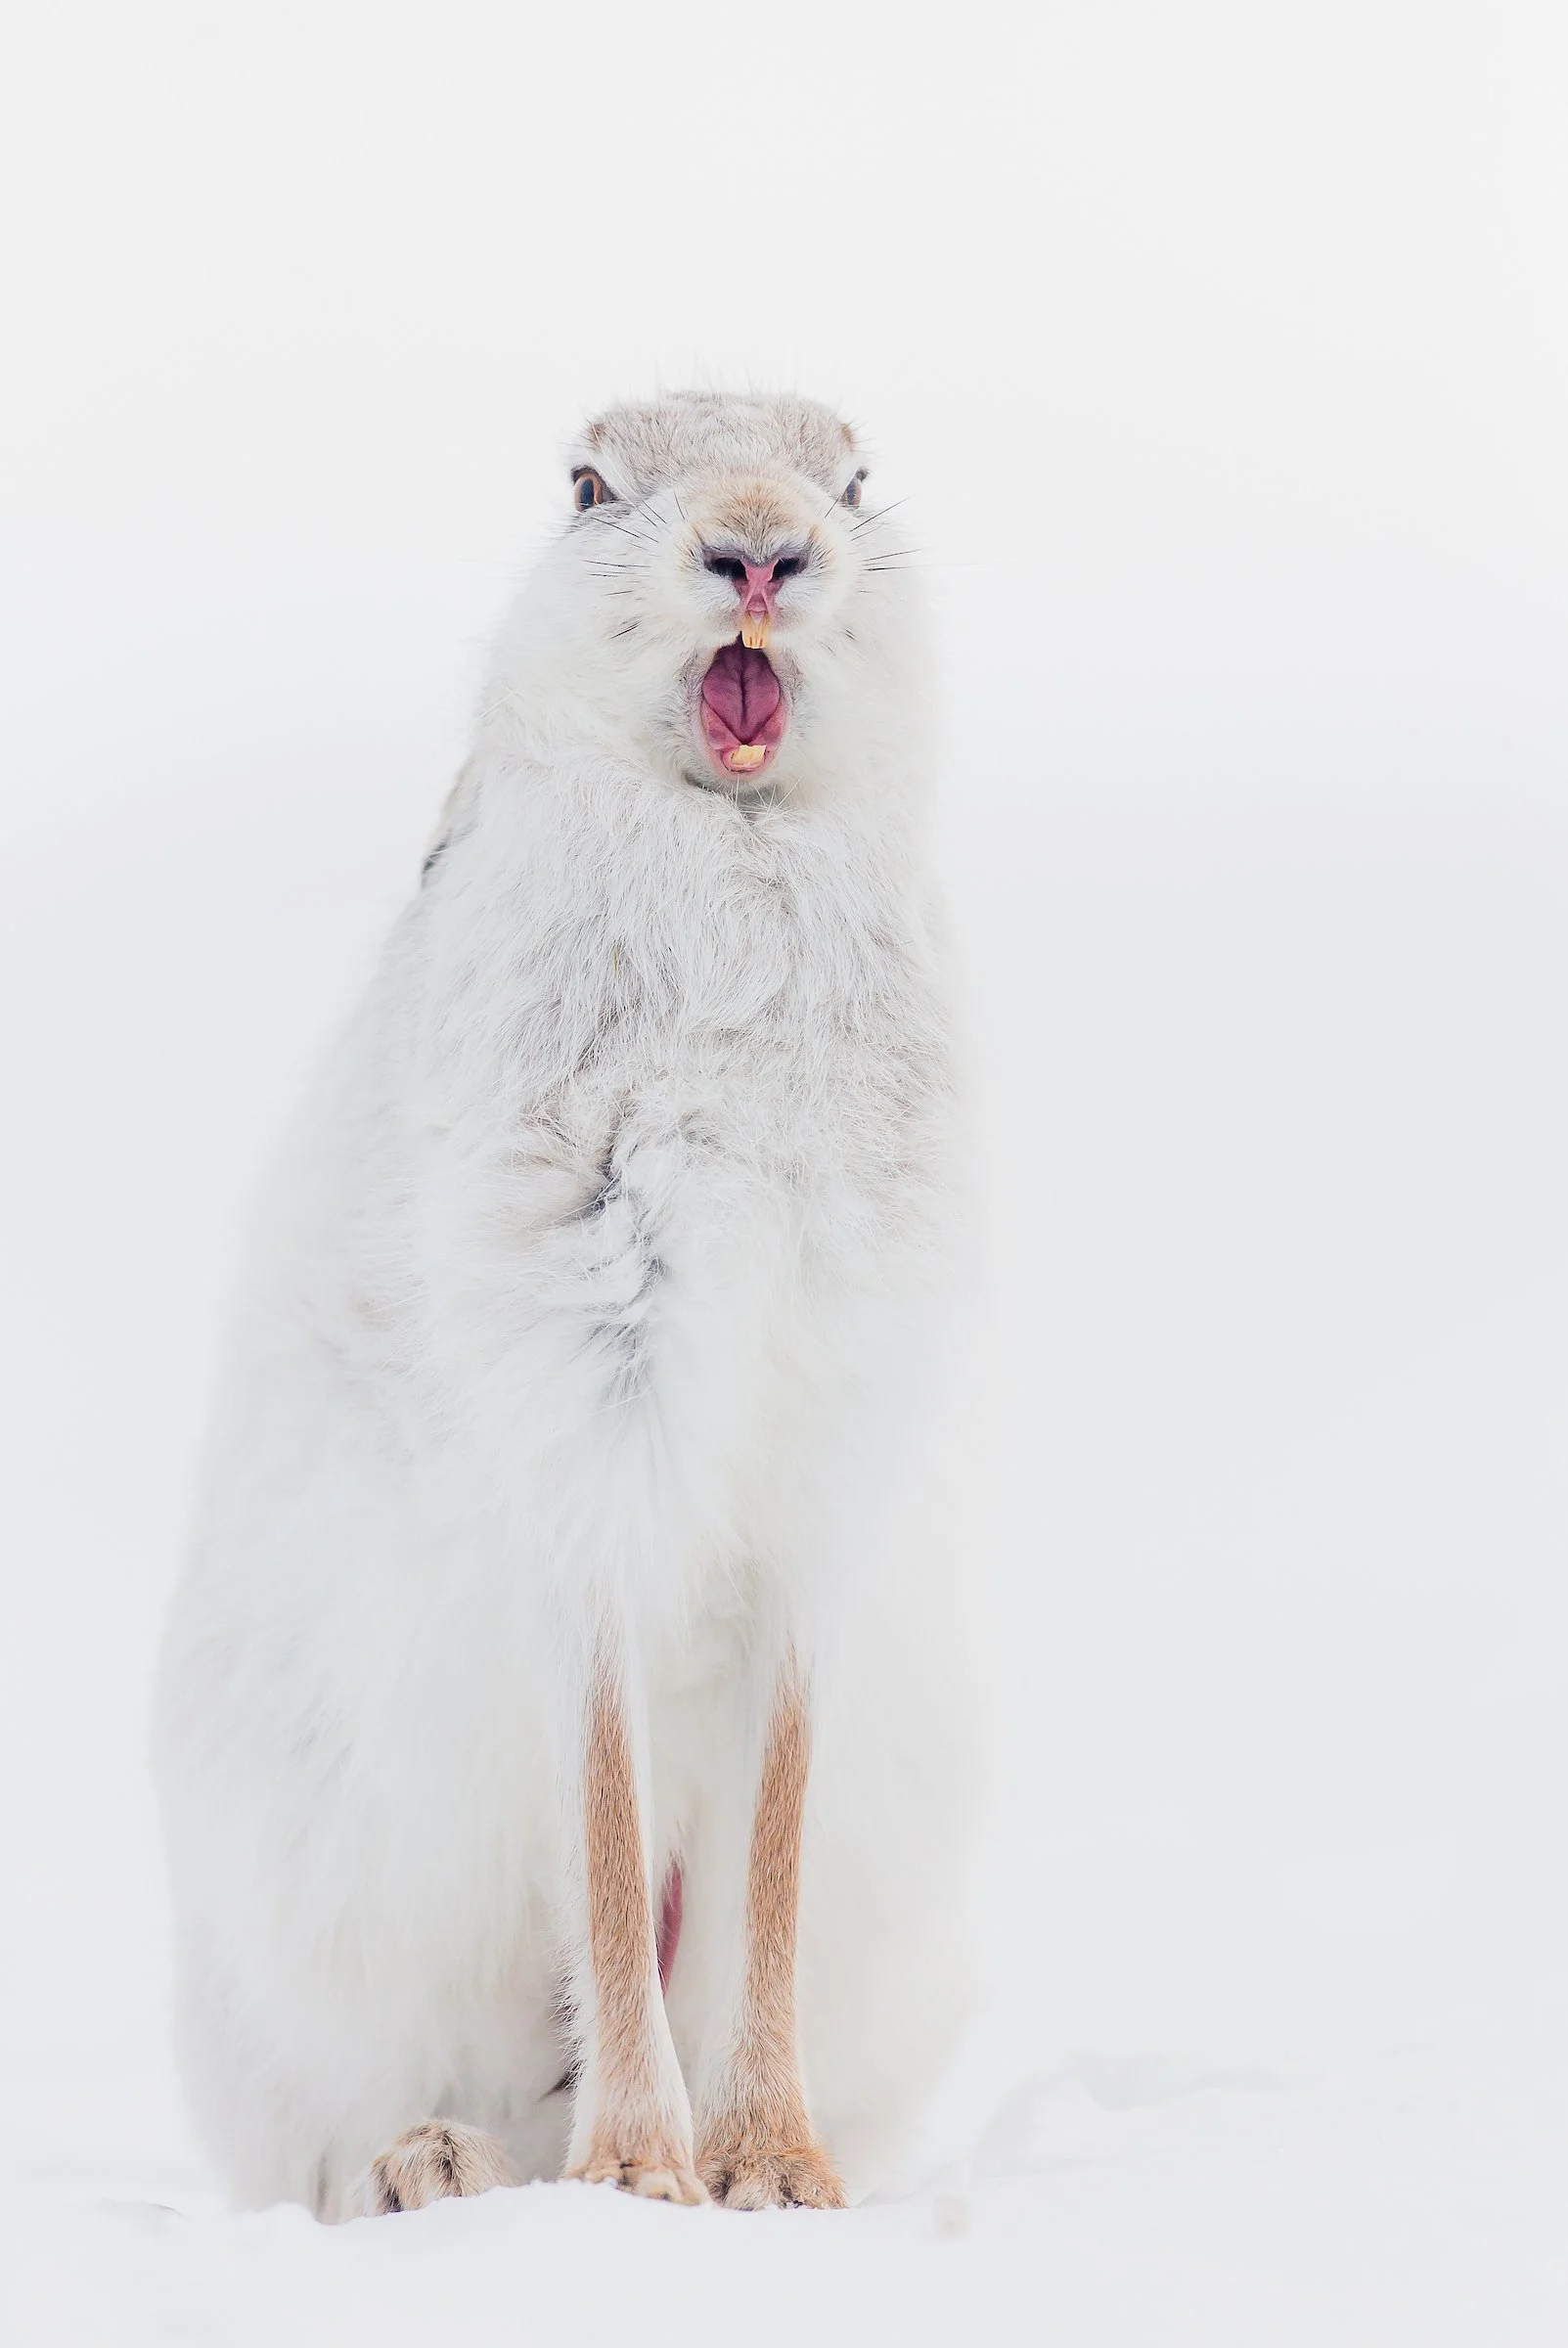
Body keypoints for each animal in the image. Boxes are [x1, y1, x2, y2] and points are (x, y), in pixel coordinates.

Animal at [153, 391, 983, 2221]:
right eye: (593, 487)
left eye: (854, 479)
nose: (759, 549)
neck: (730, 841)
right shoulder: (588, 1426)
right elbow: (601, 1817)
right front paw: (645, 2176)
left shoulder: (815, 1476)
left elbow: (768, 1848)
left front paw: (776, 2176)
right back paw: (443, 2167)